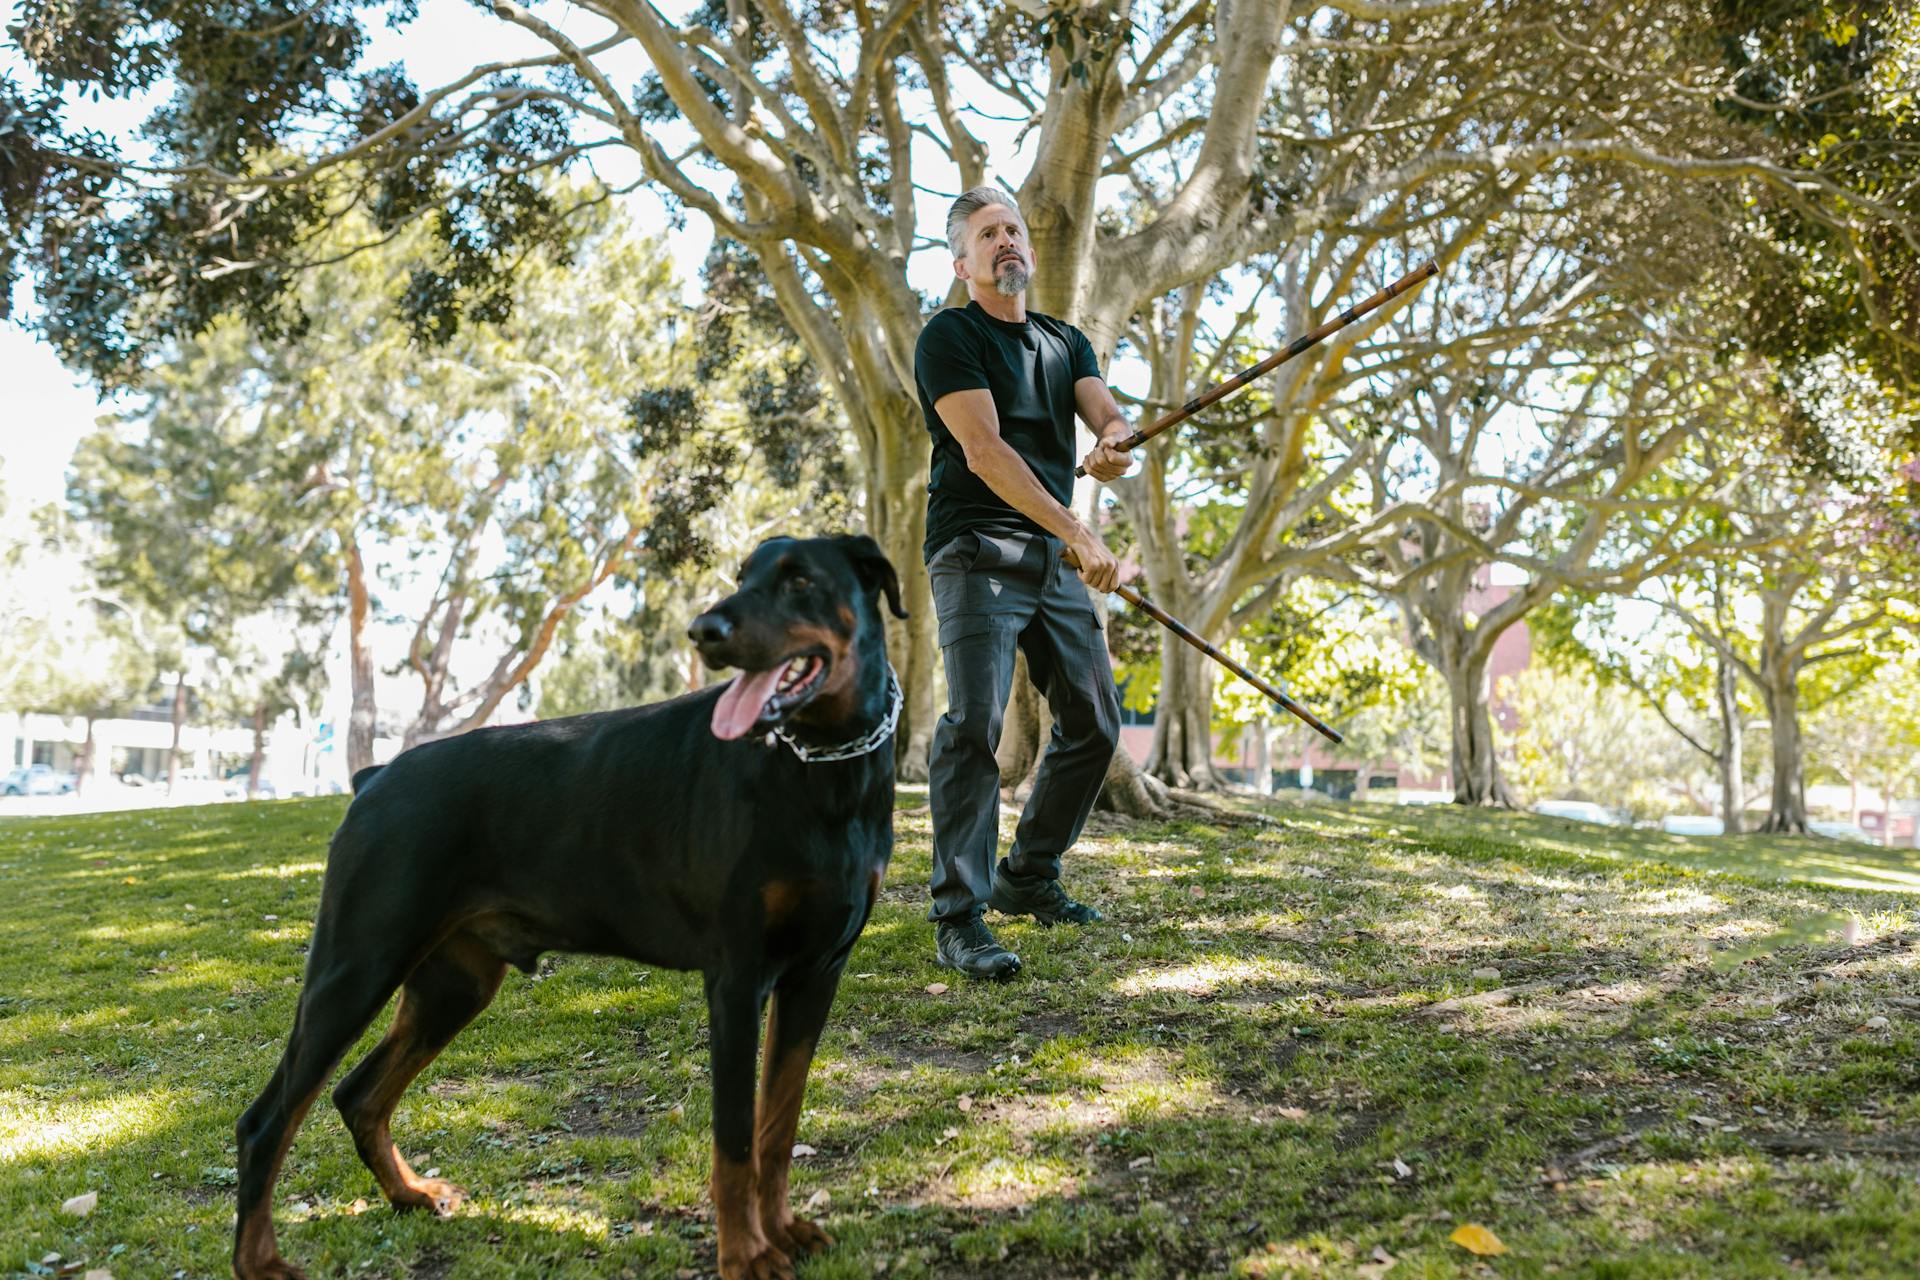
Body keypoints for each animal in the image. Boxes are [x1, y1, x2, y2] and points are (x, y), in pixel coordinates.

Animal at [232, 537, 906, 1280]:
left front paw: (782, 1229)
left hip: (453, 982)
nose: (704, 630)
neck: (823, 769)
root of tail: (375, 777)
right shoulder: (736, 980)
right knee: (265, 1122)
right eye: (741, 578)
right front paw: (746, 1255)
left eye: (799, 580)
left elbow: (776, 1126)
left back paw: (411, 1194)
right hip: (357, 963)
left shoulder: (816, 974)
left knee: (357, 1094)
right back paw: (261, 1262)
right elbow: (734, 1142)